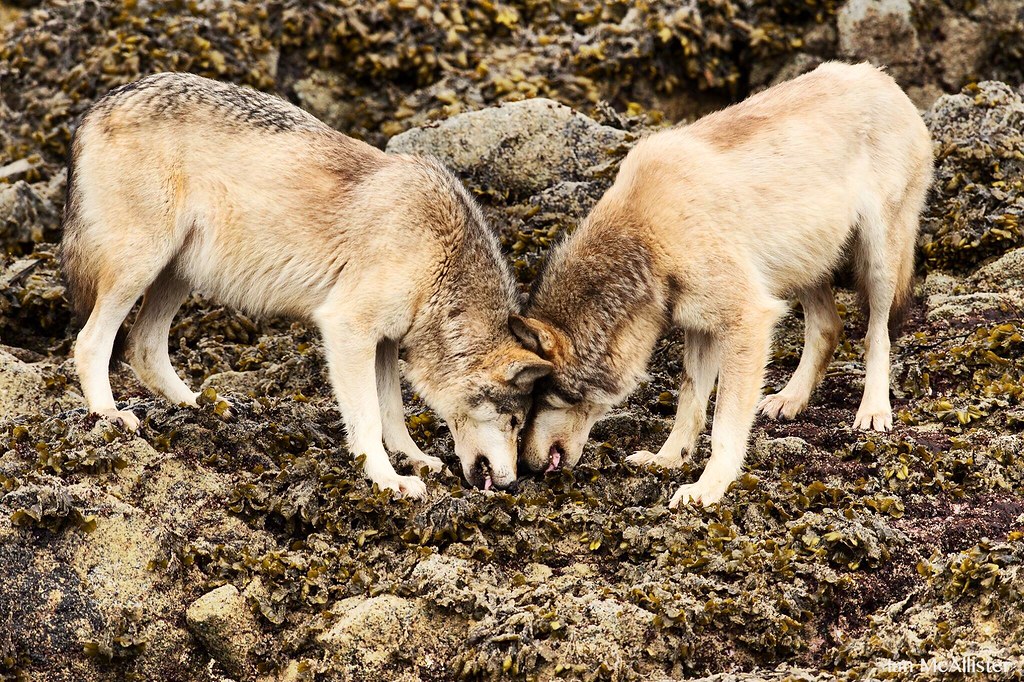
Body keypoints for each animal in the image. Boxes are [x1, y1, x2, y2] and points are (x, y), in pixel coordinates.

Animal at [60, 72, 551, 497]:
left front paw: (413, 460)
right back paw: (108, 413)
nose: (511, 484)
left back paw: (204, 405)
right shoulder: (347, 329)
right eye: (514, 422)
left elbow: (393, 412)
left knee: (143, 348)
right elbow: (369, 419)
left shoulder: (384, 343)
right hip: (141, 268)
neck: (439, 259)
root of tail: (99, 106)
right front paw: (387, 479)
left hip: (178, 275)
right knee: (91, 342)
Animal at [514, 62, 933, 507]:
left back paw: (873, 411)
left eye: (538, 400)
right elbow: (689, 402)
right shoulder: (701, 328)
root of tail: (881, 76)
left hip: (878, 262)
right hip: (800, 267)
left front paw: (706, 488)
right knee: (828, 328)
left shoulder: (747, 321)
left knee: (876, 335)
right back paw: (790, 399)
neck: (648, 237)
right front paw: (667, 460)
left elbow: (723, 427)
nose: (524, 467)